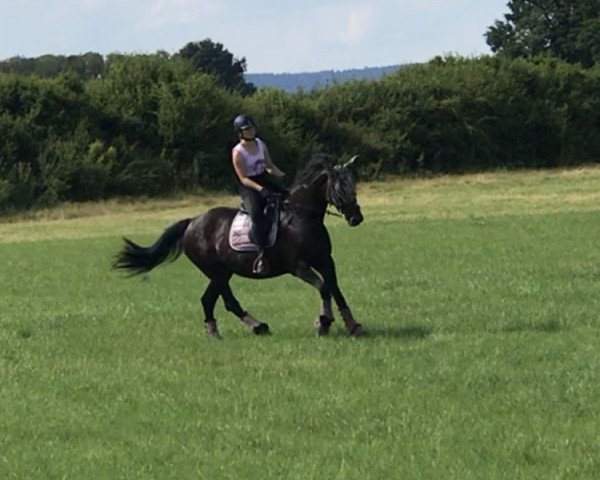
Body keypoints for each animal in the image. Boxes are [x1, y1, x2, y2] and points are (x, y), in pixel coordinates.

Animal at [113, 154, 366, 338]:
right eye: (340, 188)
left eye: (353, 185)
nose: (356, 218)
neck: (303, 217)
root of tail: (192, 223)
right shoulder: (299, 267)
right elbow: (324, 288)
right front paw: (323, 323)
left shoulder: (325, 261)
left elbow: (335, 289)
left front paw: (353, 325)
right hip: (216, 271)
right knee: (219, 300)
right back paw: (234, 329)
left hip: (224, 272)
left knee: (214, 300)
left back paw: (240, 329)